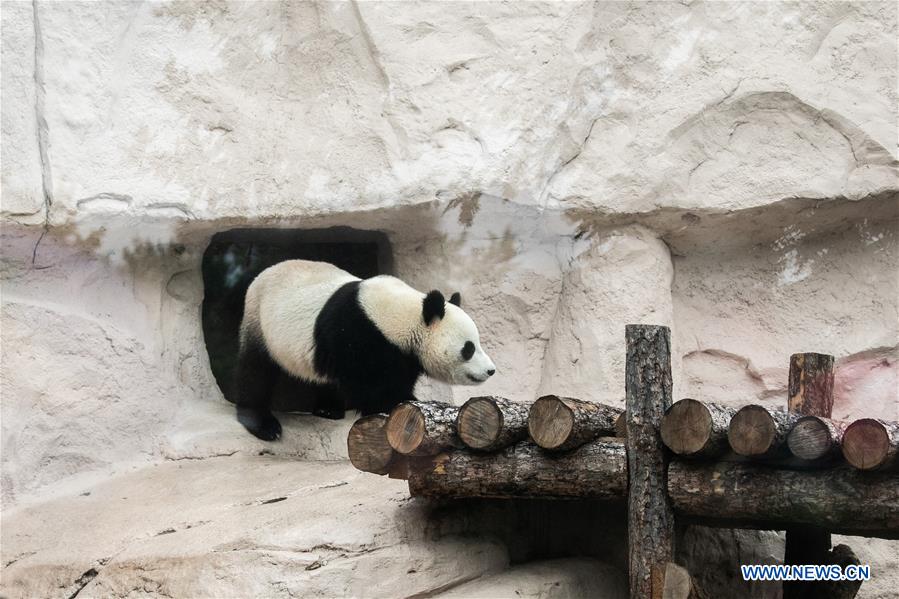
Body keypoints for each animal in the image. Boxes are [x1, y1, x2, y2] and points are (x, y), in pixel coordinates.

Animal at [235, 259, 496, 440]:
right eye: (469, 348)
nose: (491, 371)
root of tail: (261, 275)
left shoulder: (401, 353)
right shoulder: (360, 335)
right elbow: (371, 387)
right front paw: (402, 402)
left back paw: (328, 409)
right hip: (262, 323)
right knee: (255, 370)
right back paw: (264, 425)